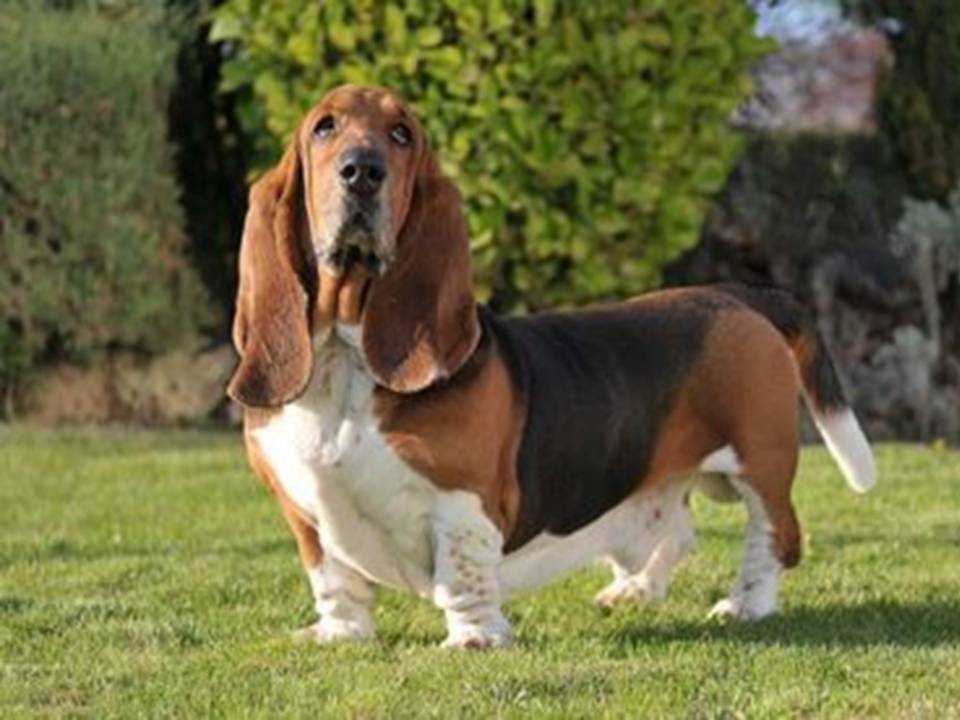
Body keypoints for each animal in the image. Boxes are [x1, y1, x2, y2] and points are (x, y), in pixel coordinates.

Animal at [227, 83, 876, 648]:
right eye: (324, 127)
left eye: (402, 133)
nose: (362, 171)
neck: (345, 352)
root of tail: (740, 295)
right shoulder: (307, 516)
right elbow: (335, 583)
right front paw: (338, 635)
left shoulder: (463, 502)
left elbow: (463, 576)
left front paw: (475, 639)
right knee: (676, 530)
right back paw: (633, 590)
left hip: (760, 464)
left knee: (776, 538)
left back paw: (744, 604)